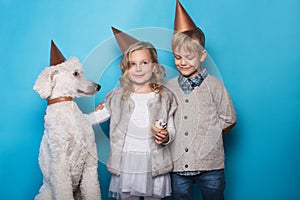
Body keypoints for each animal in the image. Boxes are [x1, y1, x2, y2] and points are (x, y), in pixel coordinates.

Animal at [33, 57, 102, 199]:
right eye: (75, 73)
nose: (98, 86)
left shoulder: (90, 163)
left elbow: (92, 190)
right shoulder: (59, 164)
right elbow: (63, 191)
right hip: (47, 192)